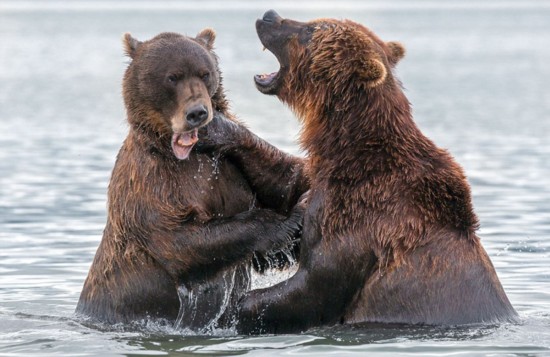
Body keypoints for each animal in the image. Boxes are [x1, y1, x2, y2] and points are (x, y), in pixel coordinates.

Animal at [76, 29, 310, 330]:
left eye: (204, 73)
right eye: (172, 77)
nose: (197, 112)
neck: (183, 155)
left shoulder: (227, 172)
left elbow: (284, 184)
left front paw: (220, 130)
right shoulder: (148, 183)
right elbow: (181, 240)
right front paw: (292, 217)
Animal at [202, 10, 516, 334]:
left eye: (312, 30)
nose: (269, 16)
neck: (348, 147)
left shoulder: (362, 217)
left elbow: (315, 286)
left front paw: (234, 310)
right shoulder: (322, 176)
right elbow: (286, 181)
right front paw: (218, 128)